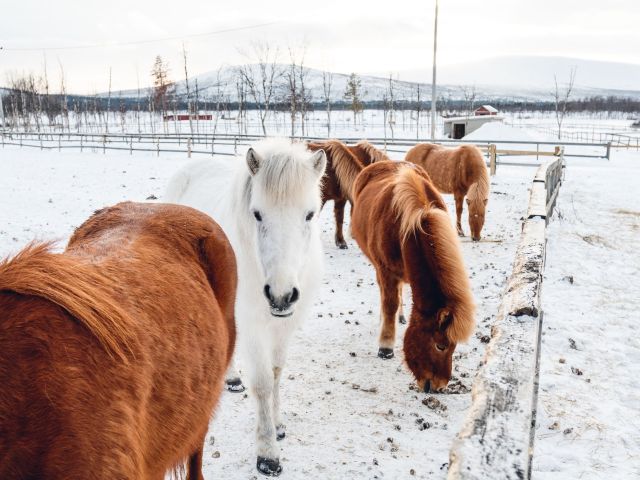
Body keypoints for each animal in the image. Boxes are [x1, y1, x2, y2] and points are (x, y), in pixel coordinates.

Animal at [164, 138, 326, 477]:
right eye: (258, 214)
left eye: (309, 214)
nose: (281, 294)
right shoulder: (252, 326)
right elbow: (262, 383)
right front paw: (267, 453)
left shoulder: (283, 327)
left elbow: (276, 372)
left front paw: (277, 425)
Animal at [351, 161, 475, 392]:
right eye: (440, 346)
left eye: (454, 346)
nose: (439, 386)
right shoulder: (386, 271)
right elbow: (389, 303)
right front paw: (386, 346)